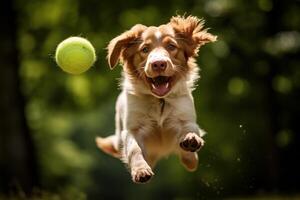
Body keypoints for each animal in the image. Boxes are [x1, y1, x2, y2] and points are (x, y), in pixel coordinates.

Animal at [96, 15, 216, 184]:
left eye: (172, 46)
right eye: (145, 49)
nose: (158, 64)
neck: (160, 101)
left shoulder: (186, 118)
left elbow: (190, 138)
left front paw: (191, 141)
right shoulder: (132, 129)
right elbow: (134, 149)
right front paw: (141, 170)